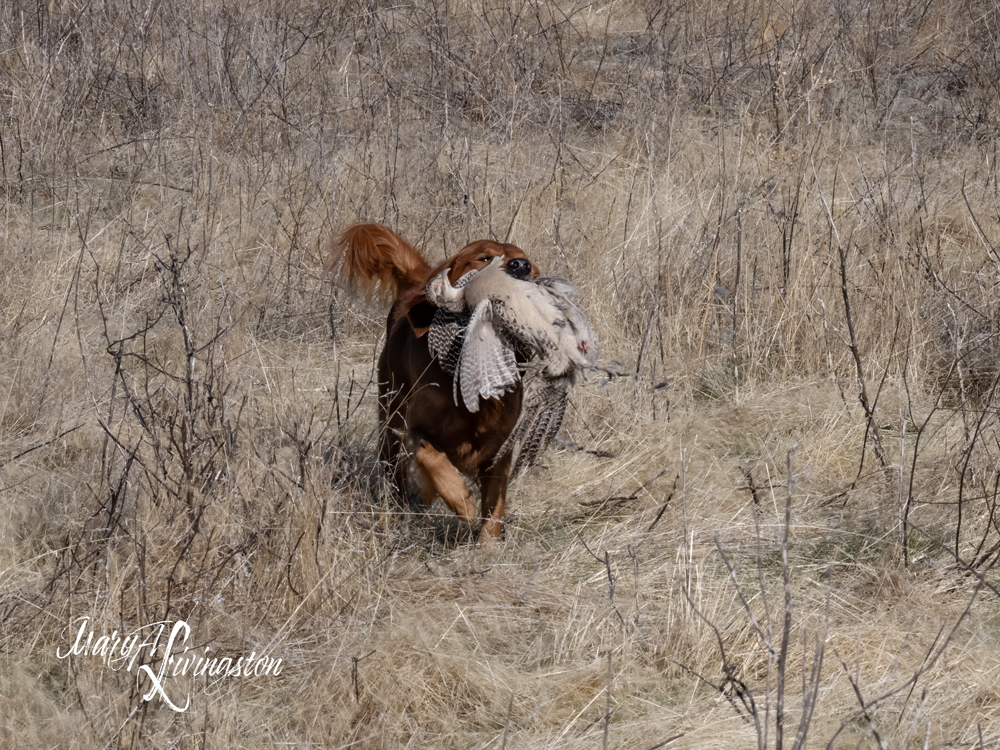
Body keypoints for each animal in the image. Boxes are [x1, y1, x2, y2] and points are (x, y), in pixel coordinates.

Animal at [326, 223, 540, 540]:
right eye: (484, 257)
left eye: (526, 260)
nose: (520, 267)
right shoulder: (414, 429)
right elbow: (434, 459)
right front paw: (462, 503)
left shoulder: (501, 446)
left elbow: (494, 507)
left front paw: (488, 544)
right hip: (391, 419)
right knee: (397, 476)